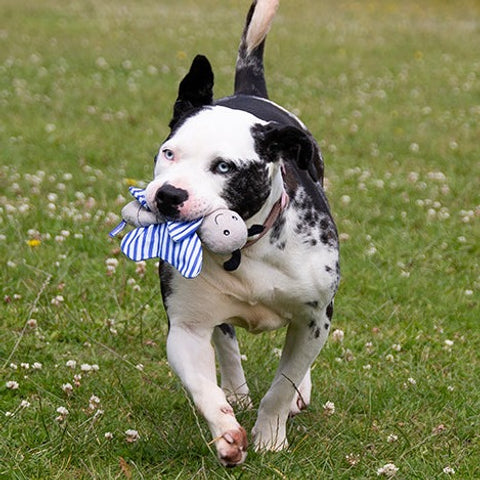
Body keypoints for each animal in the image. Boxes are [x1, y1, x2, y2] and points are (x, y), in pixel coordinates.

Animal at [141, 0, 340, 464]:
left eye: (224, 166)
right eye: (168, 153)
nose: (169, 195)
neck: (247, 247)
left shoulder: (314, 319)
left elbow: (283, 385)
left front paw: (271, 437)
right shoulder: (187, 328)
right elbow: (202, 386)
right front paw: (227, 432)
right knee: (227, 342)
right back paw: (235, 390)